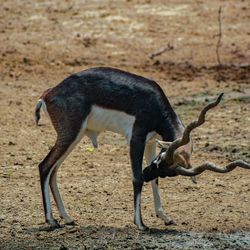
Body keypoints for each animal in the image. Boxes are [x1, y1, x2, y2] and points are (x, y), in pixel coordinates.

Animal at [35, 66, 250, 230]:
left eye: (166, 170)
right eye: (162, 160)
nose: (148, 172)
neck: (154, 104)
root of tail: (48, 93)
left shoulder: (151, 142)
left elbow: (154, 182)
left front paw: (165, 217)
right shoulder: (136, 139)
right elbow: (136, 178)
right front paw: (141, 224)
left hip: (74, 137)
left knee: (54, 171)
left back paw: (67, 218)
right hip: (70, 135)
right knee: (45, 166)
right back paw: (52, 221)